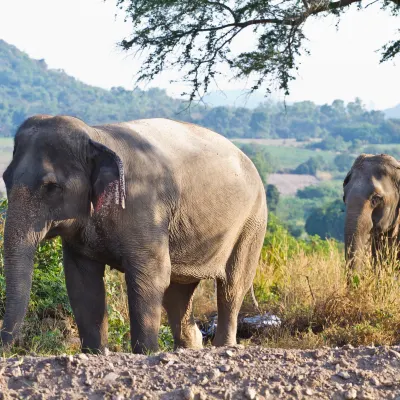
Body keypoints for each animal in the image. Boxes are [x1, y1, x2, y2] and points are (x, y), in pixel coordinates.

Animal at [0, 115, 268, 354]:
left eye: (52, 187)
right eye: (6, 178)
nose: (6, 351)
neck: (96, 136)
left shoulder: (145, 208)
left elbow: (150, 276)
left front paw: (146, 353)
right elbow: (81, 281)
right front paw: (94, 353)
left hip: (252, 223)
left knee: (232, 286)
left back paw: (224, 346)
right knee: (177, 294)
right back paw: (189, 349)